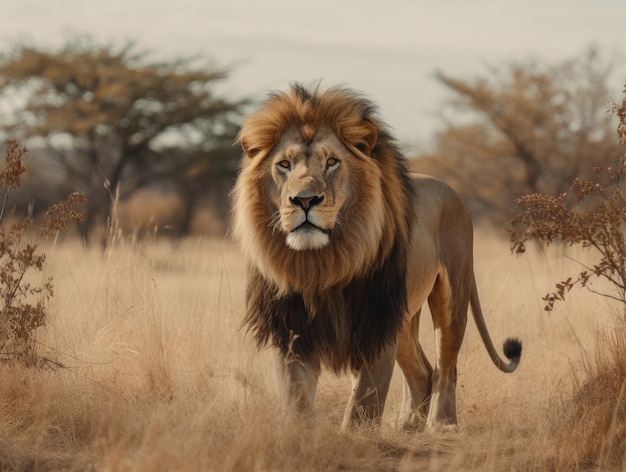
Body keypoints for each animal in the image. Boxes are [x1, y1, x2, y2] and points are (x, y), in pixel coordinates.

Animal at [232, 84, 520, 432]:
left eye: (332, 162)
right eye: (284, 164)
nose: (304, 200)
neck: (323, 264)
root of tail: (453, 193)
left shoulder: (376, 324)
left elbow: (364, 401)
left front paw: (354, 437)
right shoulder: (291, 329)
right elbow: (296, 397)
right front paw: (299, 435)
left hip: (450, 299)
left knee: (446, 367)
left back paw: (441, 424)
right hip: (405, 319)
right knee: (422, 371)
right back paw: (408, 423)